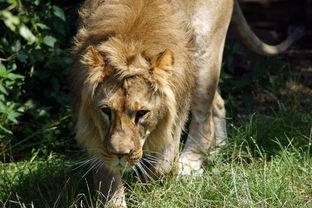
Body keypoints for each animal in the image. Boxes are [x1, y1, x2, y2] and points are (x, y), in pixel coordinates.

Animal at [70, 0, 302, 206]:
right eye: (106, 110)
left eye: (142, 113)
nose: (120, 154)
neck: (130, 44)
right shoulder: (96, 132)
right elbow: (108, 180)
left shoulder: (175, 113)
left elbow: (162, 165)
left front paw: (148, 185)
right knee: (218, 103)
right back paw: (218, 150)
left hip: (204, 51)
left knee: (204, 118)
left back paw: (189, 165)